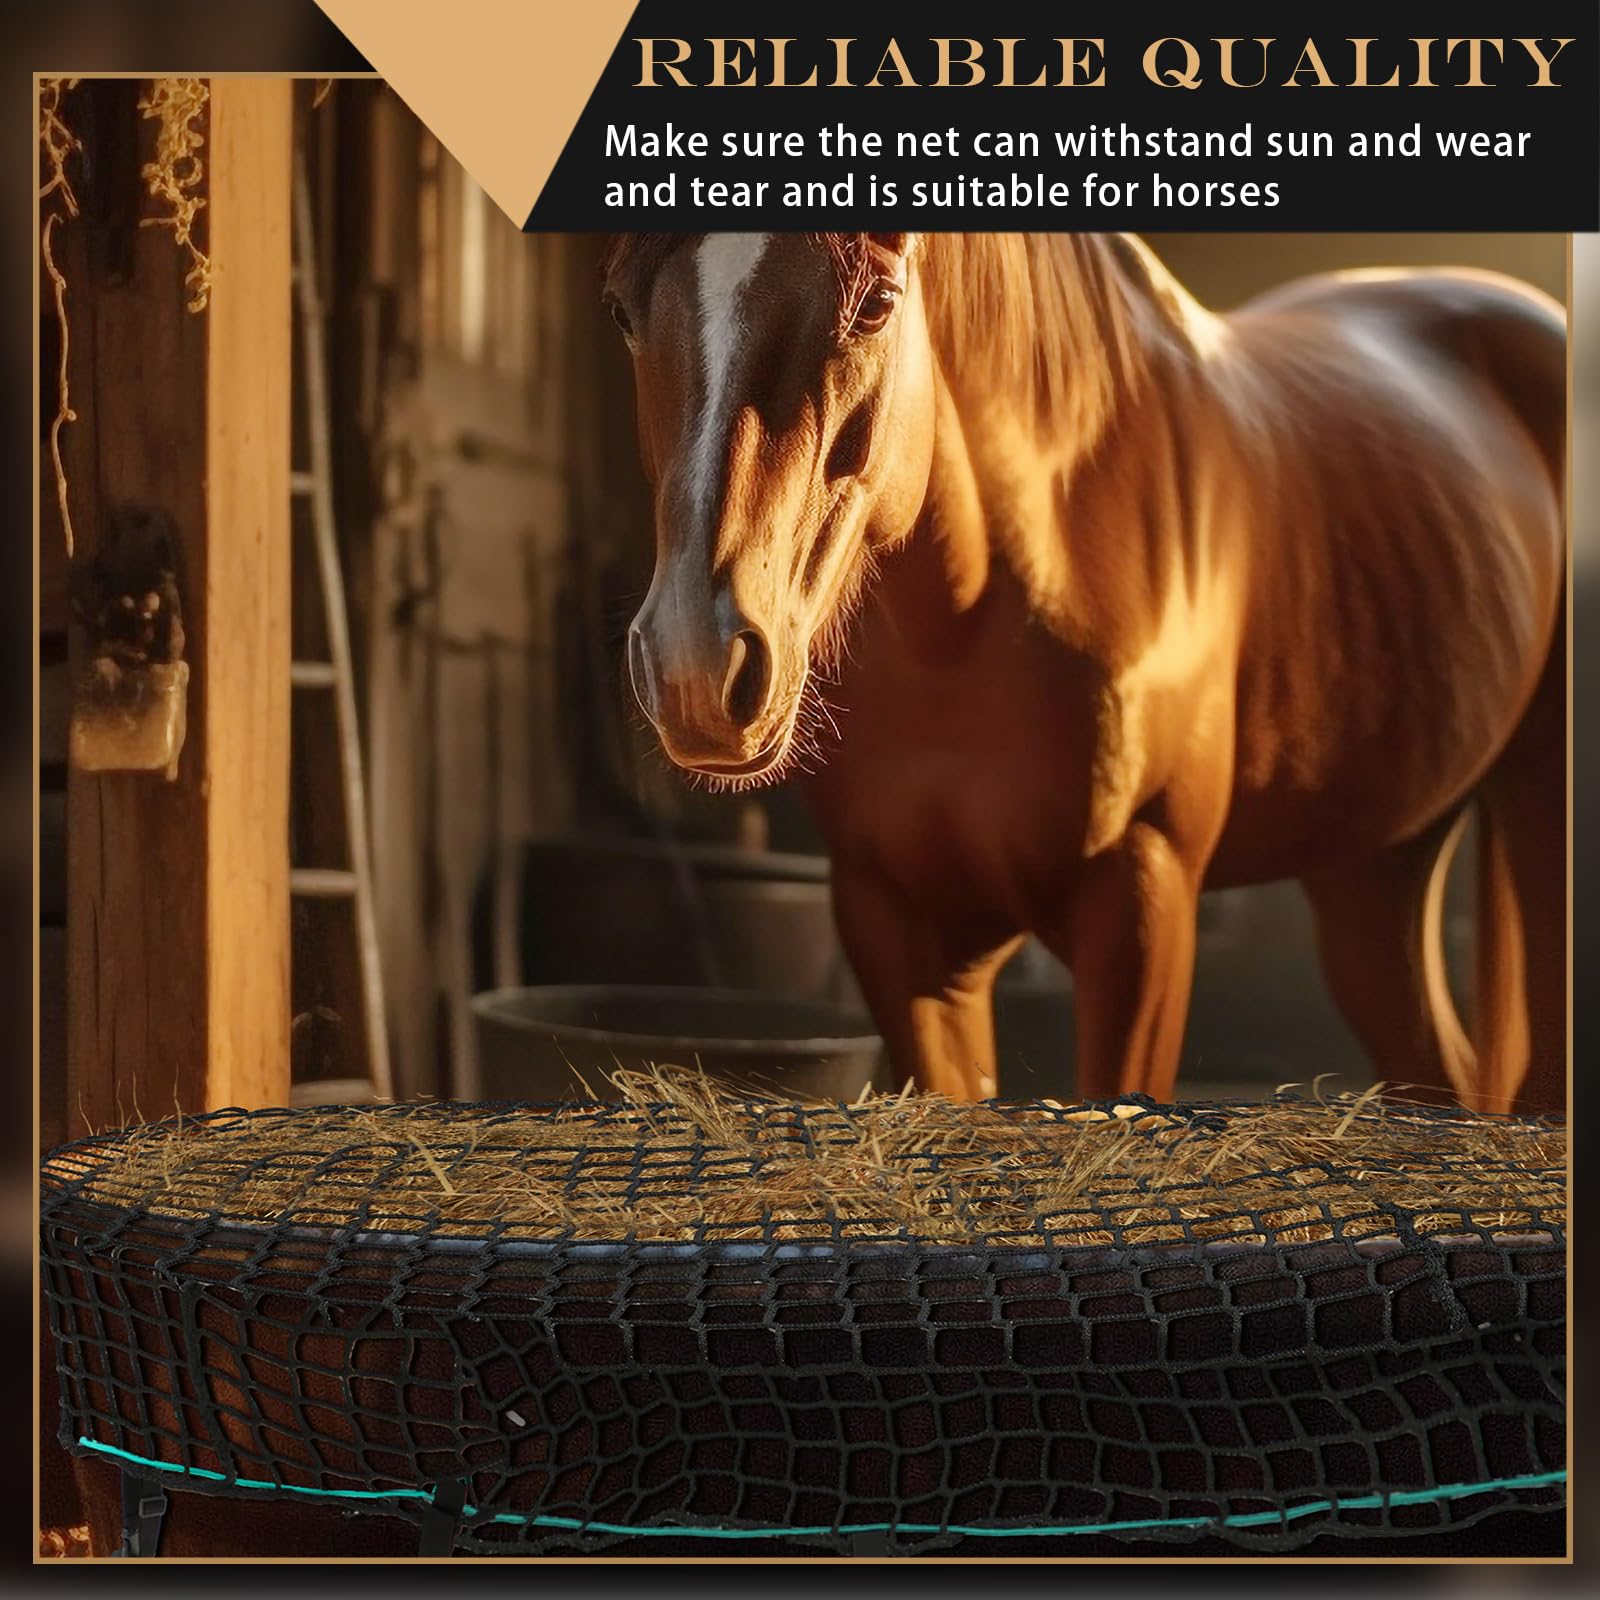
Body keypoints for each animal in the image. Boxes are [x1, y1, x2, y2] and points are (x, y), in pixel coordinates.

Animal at [603, 232, 1566, 1116]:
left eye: (876, 303)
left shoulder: (1142, 909)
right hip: (1372, 863)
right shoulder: (899, 930)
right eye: (620, 307)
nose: (696, 666)